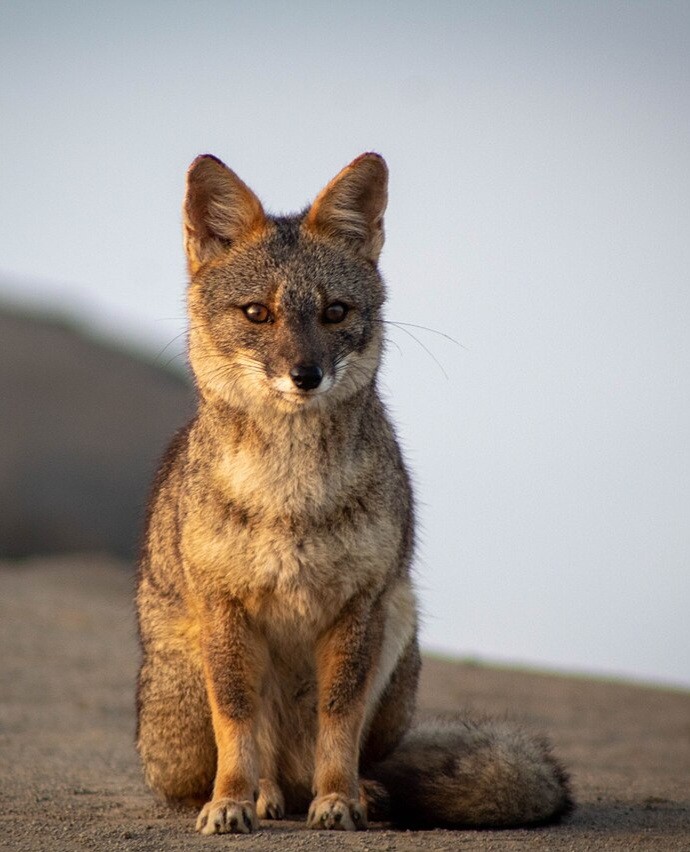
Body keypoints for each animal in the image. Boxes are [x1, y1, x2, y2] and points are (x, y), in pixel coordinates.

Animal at [135, 152, 573, 834]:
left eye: (334, 313)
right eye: (257, 313)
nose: (305, 375)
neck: (290, 493)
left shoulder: (359, 604)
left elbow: (338, 719)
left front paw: (338, 798)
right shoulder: (224, 605)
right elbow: (238, 721)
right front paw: (231, 800)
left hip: (399, 619)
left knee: (347, 755)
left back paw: (354, 791)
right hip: (184, 687)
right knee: (250, 764)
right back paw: (263, 793)